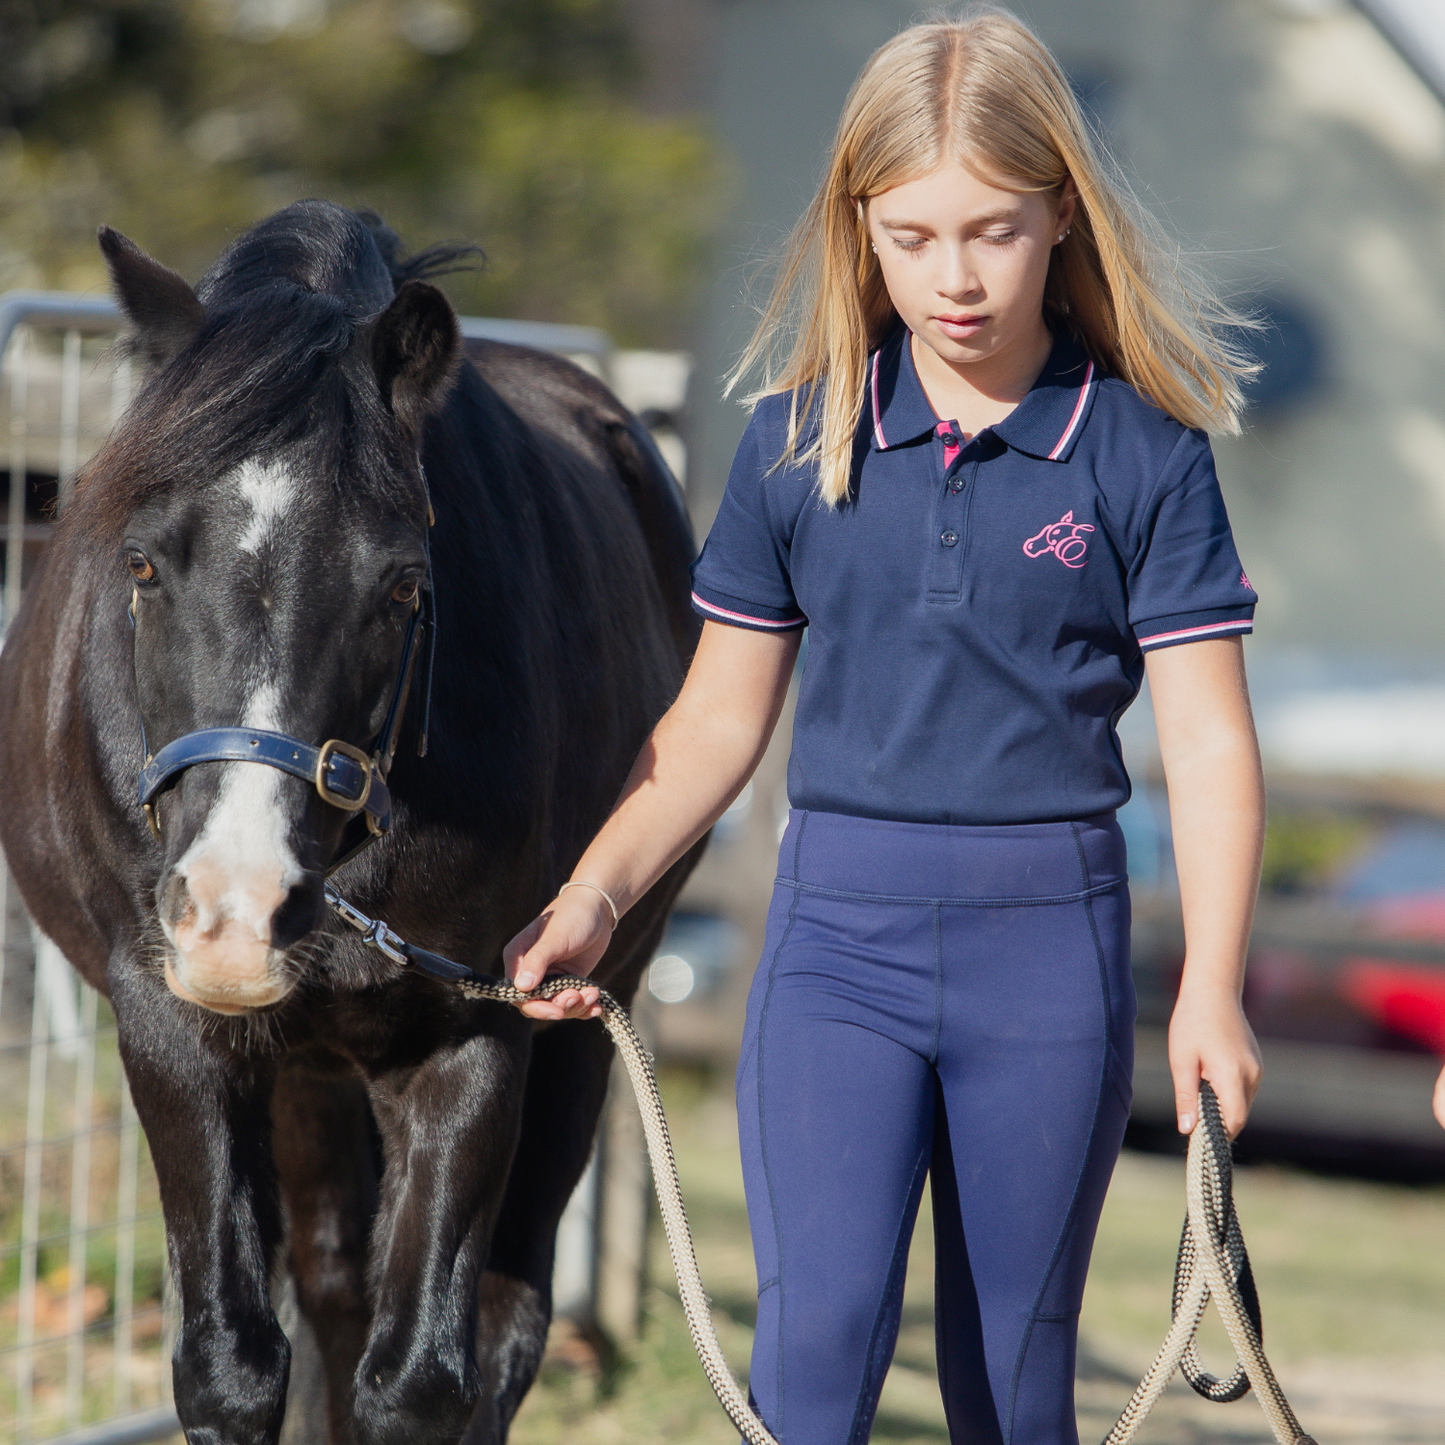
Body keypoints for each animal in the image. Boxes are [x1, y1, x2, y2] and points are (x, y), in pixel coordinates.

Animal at [0, 203, 702, 1445]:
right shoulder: (173, 1029)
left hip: (585, 1018)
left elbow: (417, 1377)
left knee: (507, 1315)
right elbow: (234, 1363)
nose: (236, 909)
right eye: (143, 562)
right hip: (305, 1071)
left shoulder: (475, 1040)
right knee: (331, 1287)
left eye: (404, 587)